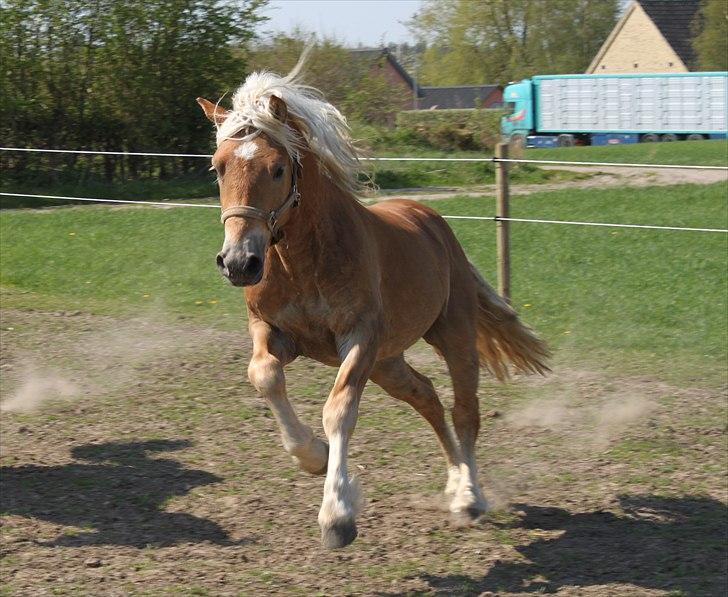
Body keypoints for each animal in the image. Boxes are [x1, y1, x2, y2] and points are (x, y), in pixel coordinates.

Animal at [196, 61, 548, 548]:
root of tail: (434, 223)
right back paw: (454, 483)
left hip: (451, 336)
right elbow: (264, 376)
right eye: (218, 167)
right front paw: (314, 456)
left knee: (464, 411)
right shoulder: (275, 334)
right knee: (427, 398)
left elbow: (339, 410)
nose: (238, 263)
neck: (303, 260)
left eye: (278, 168)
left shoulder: (358, 340)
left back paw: (469, 497)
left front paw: (338, 516)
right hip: (388, 362)